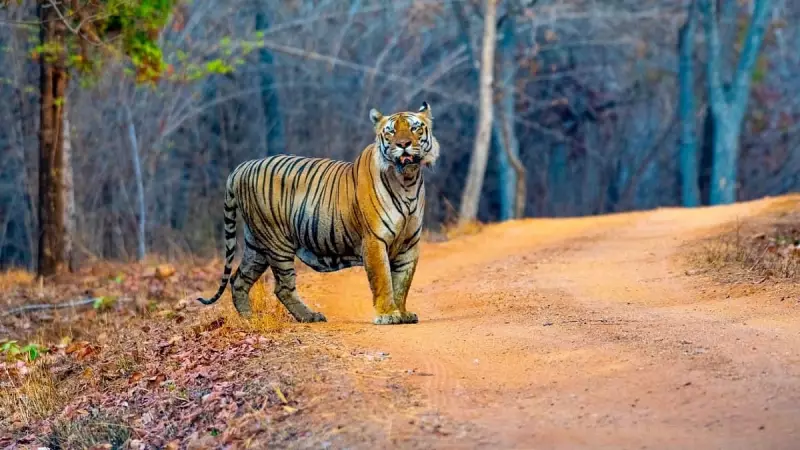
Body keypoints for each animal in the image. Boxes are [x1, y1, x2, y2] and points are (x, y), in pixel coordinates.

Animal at [197, 102, 439, 325]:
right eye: (390, 131)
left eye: (415, 128)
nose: (403, 144)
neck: (407, 181)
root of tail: (242, 167)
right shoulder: (374, 240)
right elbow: (383, 280)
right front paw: (388, 315)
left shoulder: (409, 243)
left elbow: (402, 283)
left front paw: (403, 313)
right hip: (276, 241)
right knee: (282, 287)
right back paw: (309, 316)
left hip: (256, 245)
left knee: (239, 279)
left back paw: (250, 319)